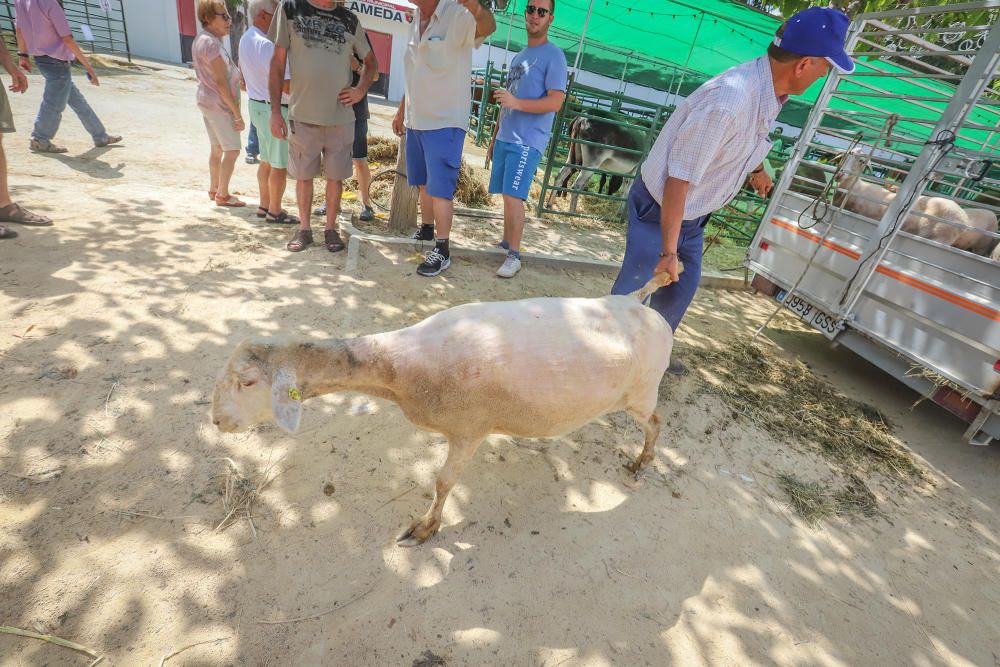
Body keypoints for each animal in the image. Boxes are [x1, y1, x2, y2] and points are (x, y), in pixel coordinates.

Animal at [212, 274, 680, 544]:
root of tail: (637, 300)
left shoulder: (469, 429)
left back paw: (643, 462)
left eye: (247, 382)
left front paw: (425, 528)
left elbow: (442, 482)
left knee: (656, 422)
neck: (404, 367)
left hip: (642, 391)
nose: (217, 421)